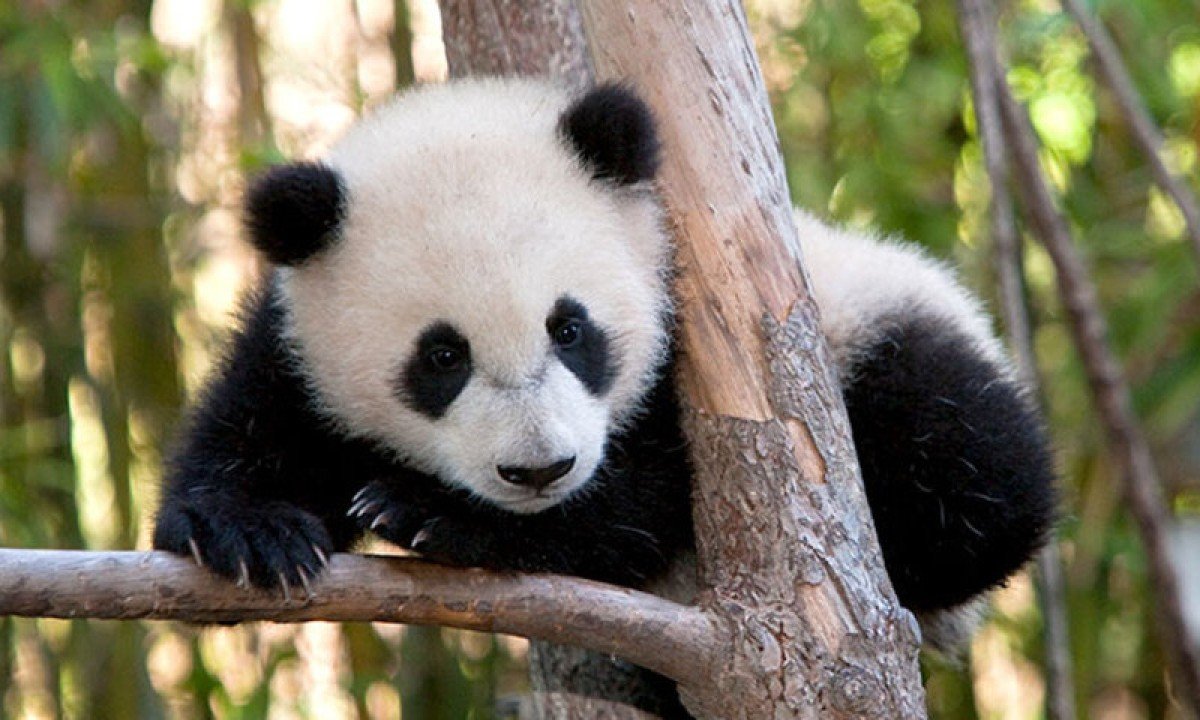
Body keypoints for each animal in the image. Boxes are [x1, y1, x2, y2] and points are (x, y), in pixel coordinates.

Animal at [153, 78, 1056, 658]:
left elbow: (650, 494)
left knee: (977, 478)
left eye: (570, 328)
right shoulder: (297, 344)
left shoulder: (703, 345)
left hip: (888, 331)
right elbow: (257, 428)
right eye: (442, 356)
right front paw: (252, 532)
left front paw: (435, 516)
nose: (538, 470)